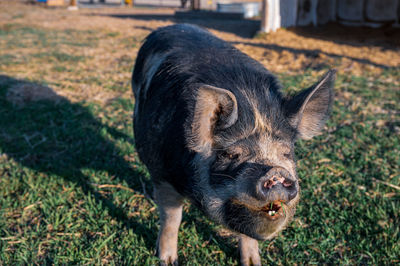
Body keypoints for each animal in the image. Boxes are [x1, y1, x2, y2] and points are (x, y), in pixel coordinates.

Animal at [131, 23, 334, 264]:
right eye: (232, 154)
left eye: (286, 152)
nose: (275, 172)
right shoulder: (162, 172)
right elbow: (172, 217)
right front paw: (168, 261)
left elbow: (247, 234)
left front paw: (253, 263)